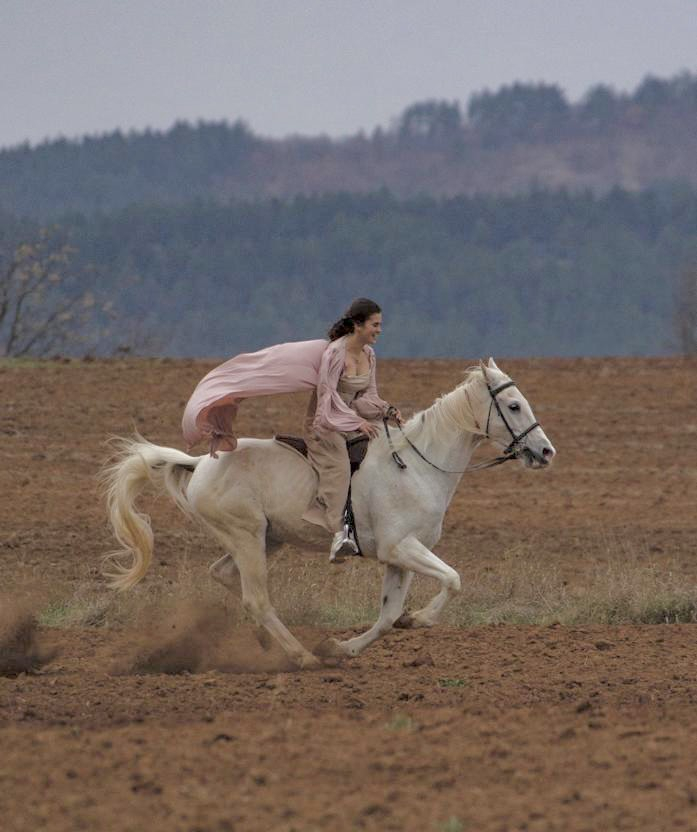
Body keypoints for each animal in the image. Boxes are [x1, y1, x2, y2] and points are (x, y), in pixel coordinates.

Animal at [102, 358, 556, 668]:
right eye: (513, 405)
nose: (546, 452)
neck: (417, 465)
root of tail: (200, 463)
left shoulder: (399, 558)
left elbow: (389, 615)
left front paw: (342, 646)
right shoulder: (401, 548)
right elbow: (452, 579)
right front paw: (419, 620)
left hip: (267, 539)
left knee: (225, 575)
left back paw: (266, 643)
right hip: (247, 537)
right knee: (257, 598)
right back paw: (301, 656)